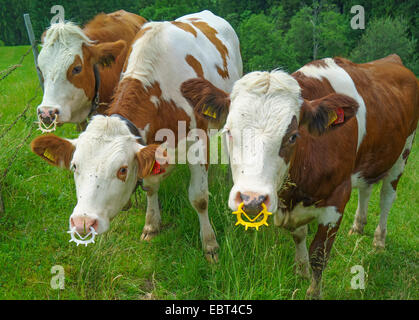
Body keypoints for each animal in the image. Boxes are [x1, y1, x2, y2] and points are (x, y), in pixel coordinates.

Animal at [32, 10, 243, 262]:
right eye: (75, 166)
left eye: (122, 170)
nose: (83, 222)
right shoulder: (149, 146)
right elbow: (150, 186)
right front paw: (151, 225)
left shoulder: (198, 143)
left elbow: (199, 198)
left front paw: (210, 245)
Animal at [183, 55, 419, 298]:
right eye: (228, 131)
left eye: (293, 136)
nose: (251, 199)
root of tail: (392, 60)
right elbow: (299, 235)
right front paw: (301, 269)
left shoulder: (337, 198)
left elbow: (319, 255)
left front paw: (313, 291)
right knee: (366, 188)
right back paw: (358, 226)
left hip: (404, 152)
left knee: (386, 197)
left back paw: (379, 241)